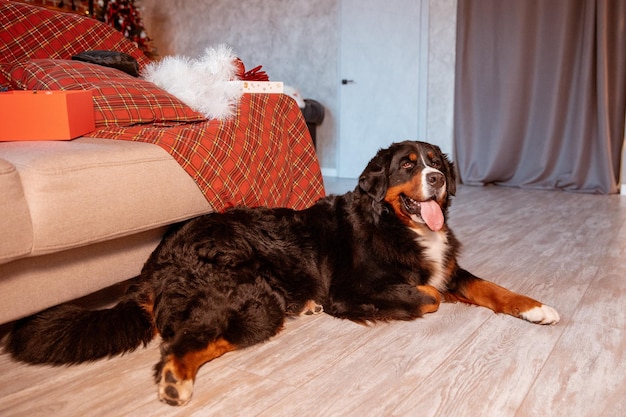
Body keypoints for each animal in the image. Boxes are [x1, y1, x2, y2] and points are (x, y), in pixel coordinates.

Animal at [7, 140, 560, 404]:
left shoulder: (449, 266)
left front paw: (536, 308)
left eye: (436, 162)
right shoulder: (352, 288)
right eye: (407, 165)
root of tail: (154, 260)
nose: (438, 177)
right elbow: (430, 294)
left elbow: (486, 286)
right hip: (251, 301)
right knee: (183, 343)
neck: (395, 224)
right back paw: (175, 382)